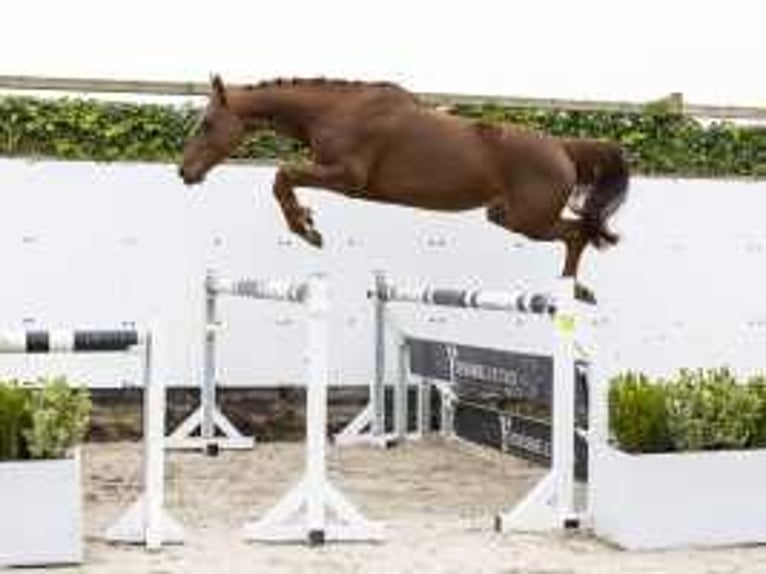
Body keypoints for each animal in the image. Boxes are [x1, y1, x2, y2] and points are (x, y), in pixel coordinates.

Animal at [180, 75, 632, 304]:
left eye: (207, 124)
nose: (184, 172)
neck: (335, 110)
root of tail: (562, 147)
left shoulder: (347, 177)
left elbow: (282, 175)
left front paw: (307, 229)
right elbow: (284, 177)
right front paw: (307, 223)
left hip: (526, 219)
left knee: (577, 232)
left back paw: (573, 289)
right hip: (507, 216)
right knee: (577, 232)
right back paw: (574, 288)